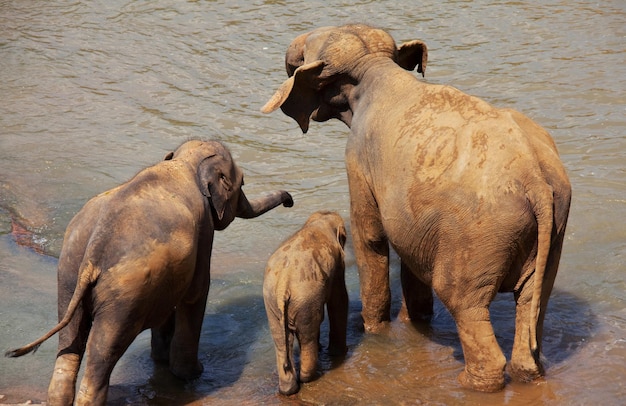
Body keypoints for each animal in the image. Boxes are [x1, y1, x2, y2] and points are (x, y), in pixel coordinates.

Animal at [4, 140, 292, 406]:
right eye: (242, 183)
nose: (289, 201)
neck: (185, 163)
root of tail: (94, 252)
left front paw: (162, 360)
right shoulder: (204, 231)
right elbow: (196, 293)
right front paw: (192, 374)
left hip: (68, 274)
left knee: (69, 344)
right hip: (123, 297)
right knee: (103, 354)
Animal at [260, 211, 348, 394]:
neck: (320, 221)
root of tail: (284, 282)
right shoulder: (338, 263)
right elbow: (339, 300)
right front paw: (340, 353)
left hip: (271, 301)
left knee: (280, 340)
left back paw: (287, 389)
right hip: (305, 298)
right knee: (308, 333)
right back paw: (308, 378)